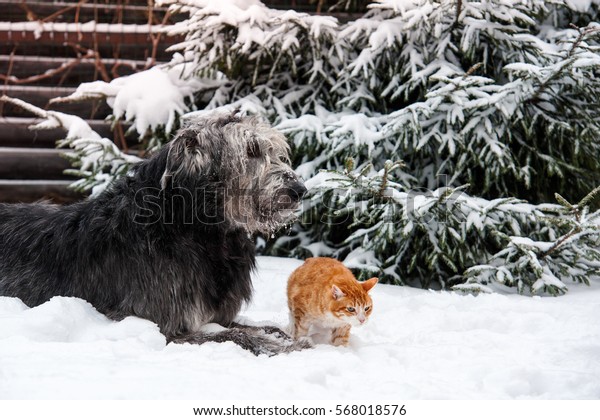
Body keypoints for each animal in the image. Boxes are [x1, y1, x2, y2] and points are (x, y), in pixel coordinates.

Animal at [0, 113, 310, 356]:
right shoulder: (164, 325)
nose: (299, 190)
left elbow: (259, 327)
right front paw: (288, 346)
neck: (190, 227)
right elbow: (237, 335)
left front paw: (281, 334)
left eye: (277, 152)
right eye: (252, 150)